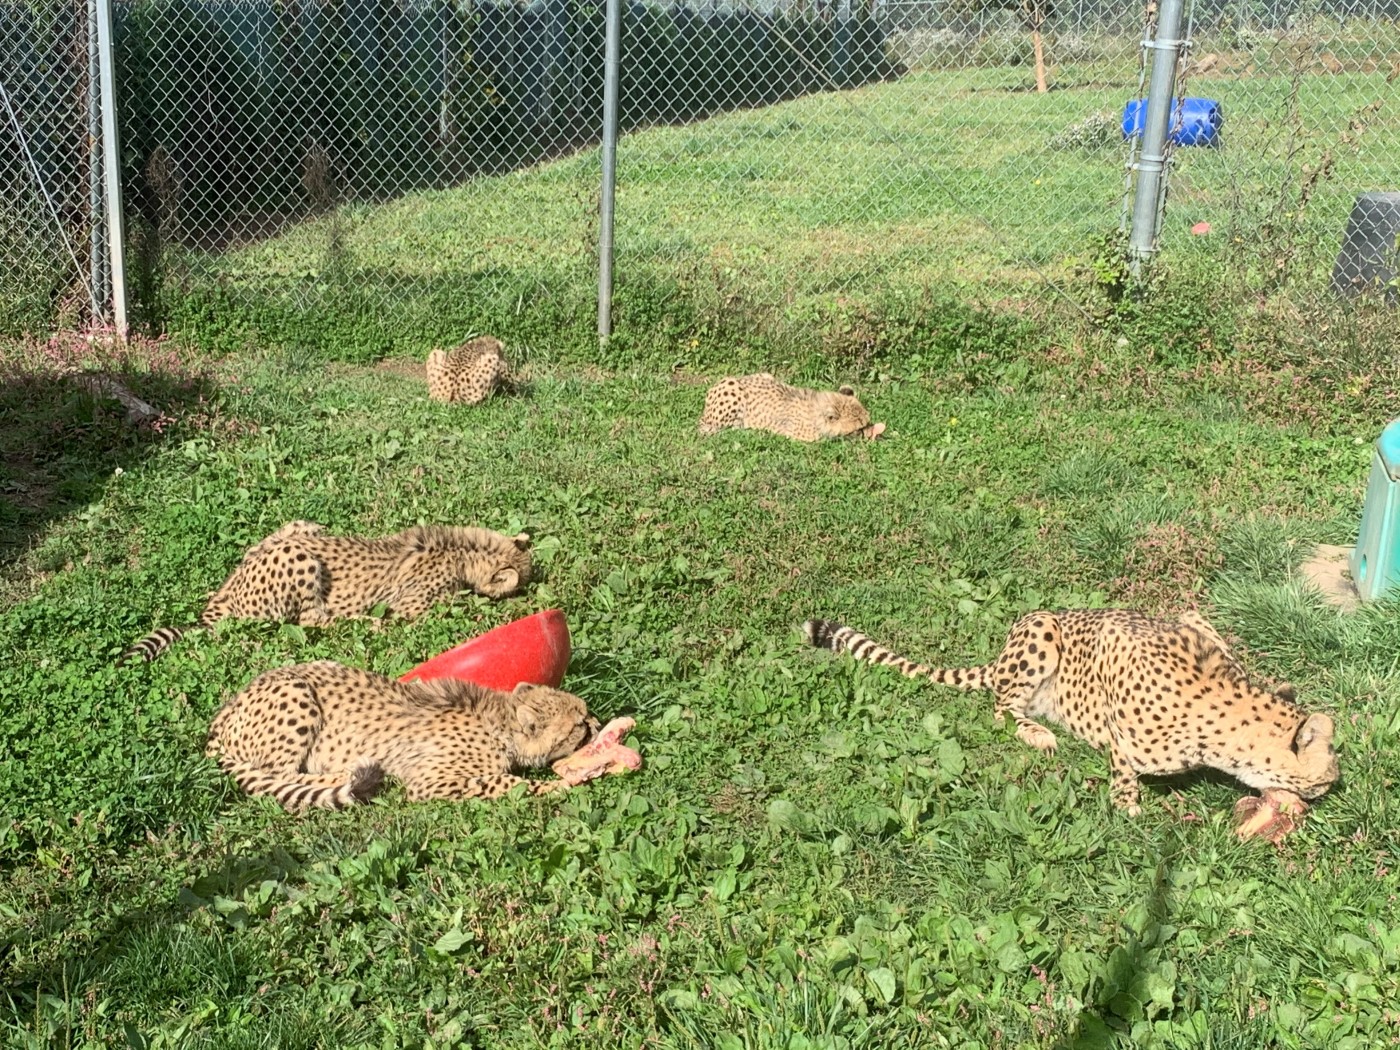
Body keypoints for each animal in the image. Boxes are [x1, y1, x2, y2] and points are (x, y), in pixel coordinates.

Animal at [123, 523, 529, 660]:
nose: (521, 591)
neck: (462, 549)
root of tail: (219, 599)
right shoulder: (412, 609)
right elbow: (453, 607)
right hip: (298, 556)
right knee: (311, 621)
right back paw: (365, 622)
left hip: (303, 528)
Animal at [205, 666, 630, 812]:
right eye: (579, 723)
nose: (597, 723)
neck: (499, 720)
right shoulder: (429, 782)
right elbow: (507, 783)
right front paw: (558, 787)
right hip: (295, 693)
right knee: (279, 773)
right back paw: (344, 775)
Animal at [806, 607, 1338, 828]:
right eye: (1326, 778)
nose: (1330, 793)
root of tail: (1000, 654)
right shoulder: (1117, 650)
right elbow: (1122, 761)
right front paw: (1127, 804)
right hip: (1041, 631)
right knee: (1000, 708)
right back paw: (1038, 733)